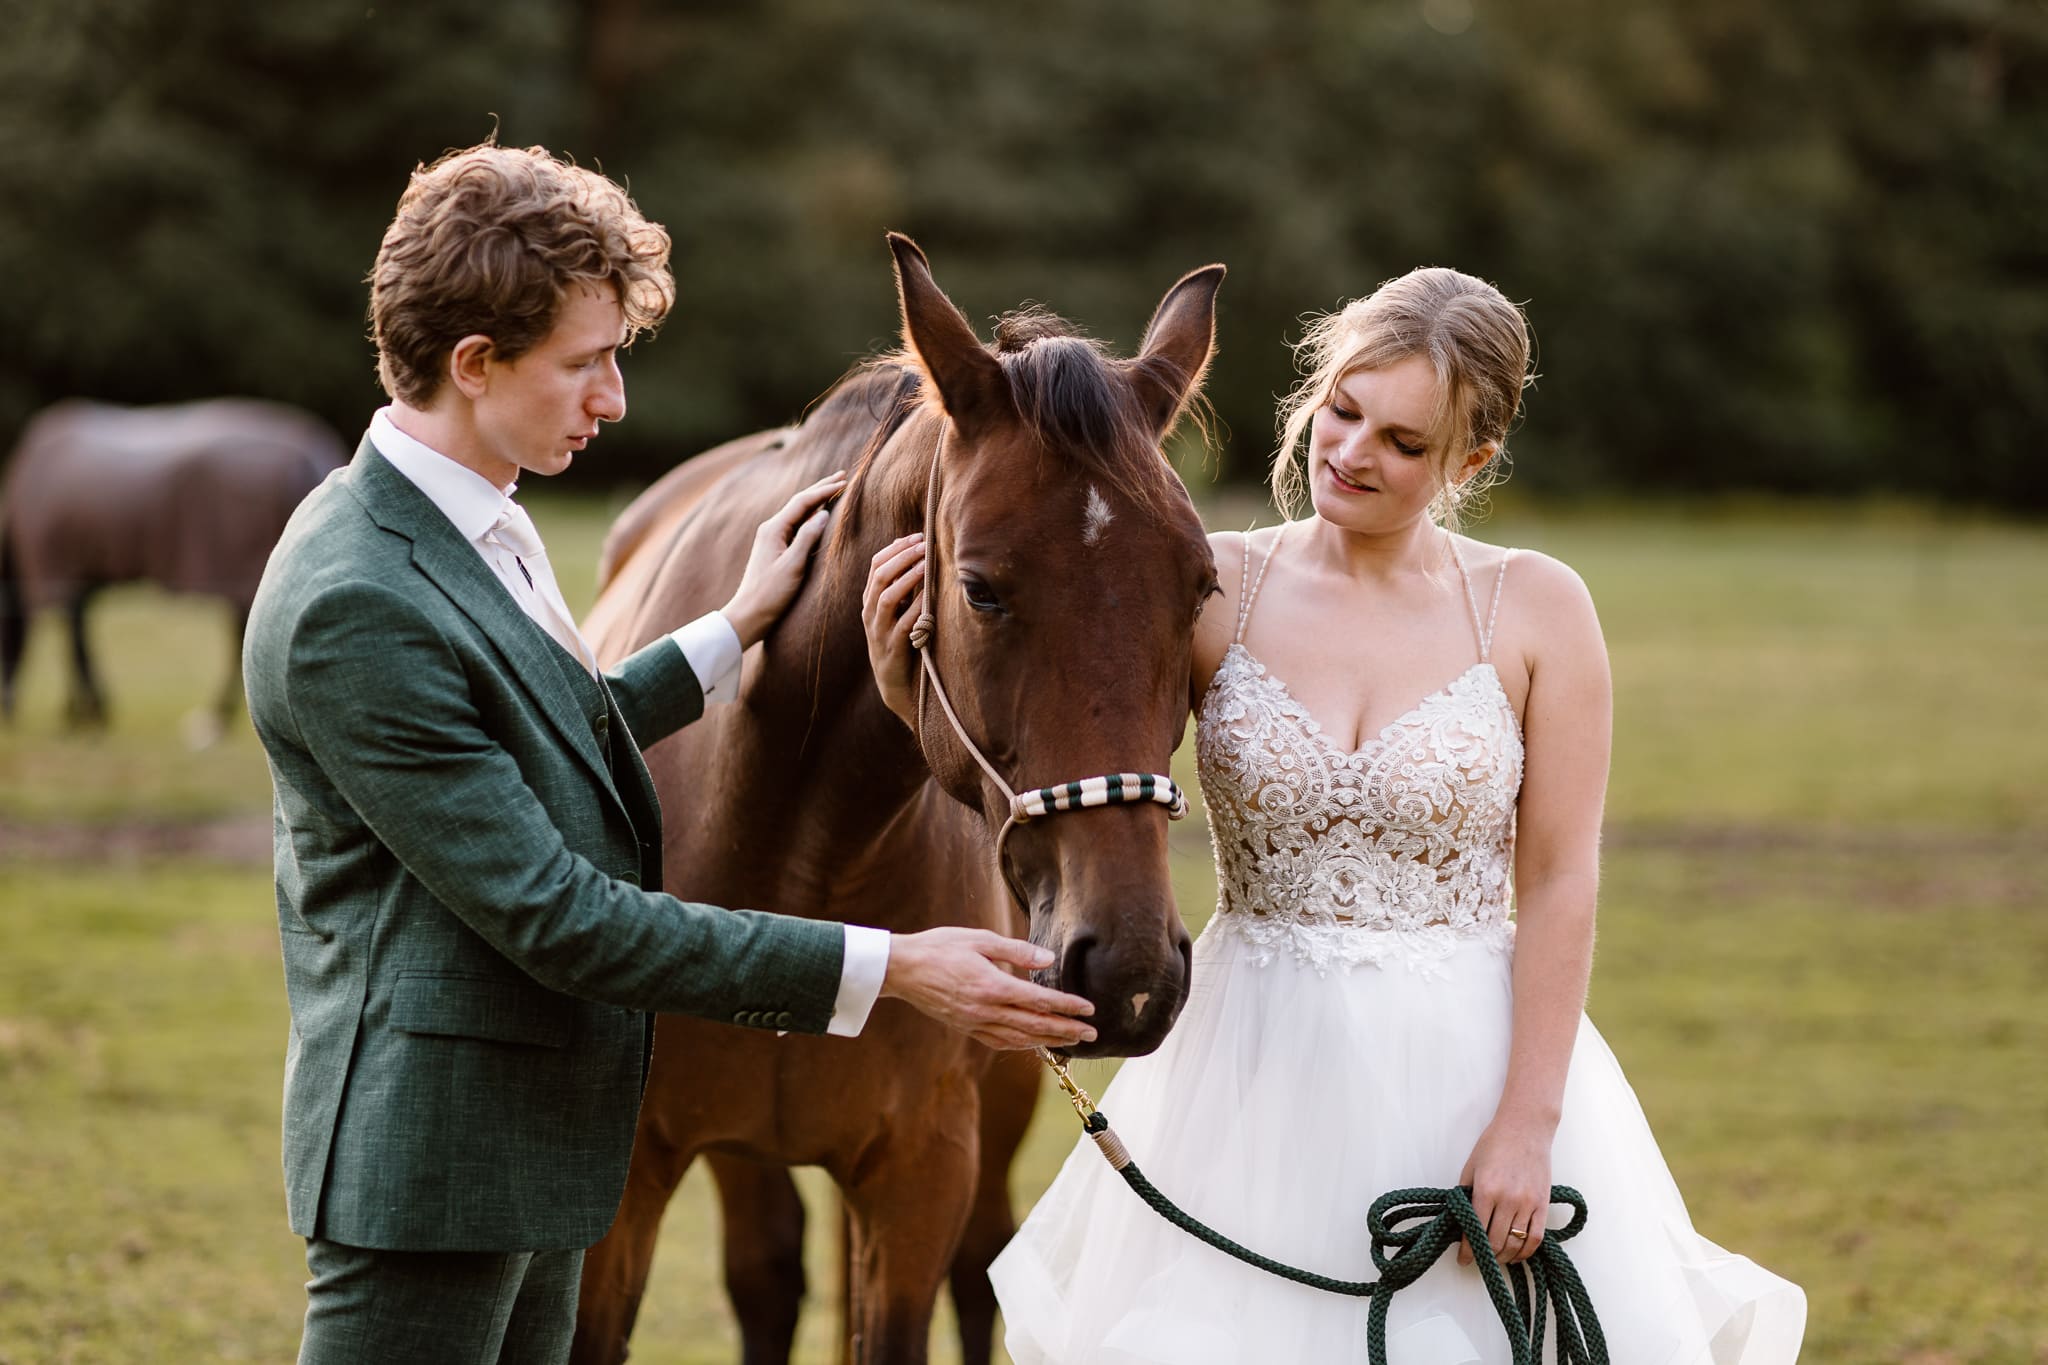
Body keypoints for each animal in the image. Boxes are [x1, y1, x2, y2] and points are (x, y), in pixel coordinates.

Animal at [0, 394, 344, 732]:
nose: (8, 707)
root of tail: (304, 455)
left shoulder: (60, 571)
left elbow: (74, 637)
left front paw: (87, 711)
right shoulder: (82, 575)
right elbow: (78, 634)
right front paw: (84, 709)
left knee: (240, 640)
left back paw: (216, 715)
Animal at [569, 235, 1220, 1365]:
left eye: (1201, 588)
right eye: (980, 588)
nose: (1129, 969)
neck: (798, 852)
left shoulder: (919, 1180)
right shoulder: (628, 1187)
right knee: (767, 1276)